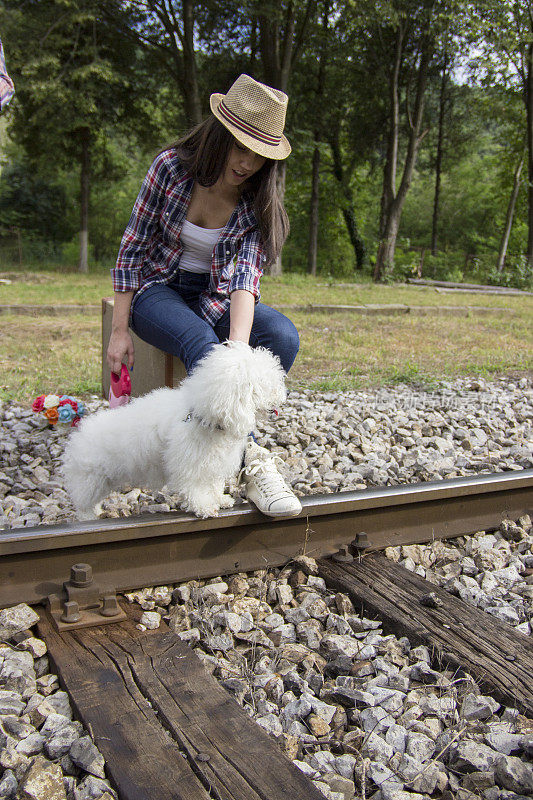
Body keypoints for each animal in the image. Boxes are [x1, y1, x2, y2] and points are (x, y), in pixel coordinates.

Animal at [61, 342, 286, 520]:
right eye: (263, 385)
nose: (282, 395)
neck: (201, 417)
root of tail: (80, 433)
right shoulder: (190, 464)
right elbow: (195, 488)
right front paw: (204, 507)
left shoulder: (212, 464)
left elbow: (213, 484)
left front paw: (220, 500)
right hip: (91, 480)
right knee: (83, 504)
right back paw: (89, 518)